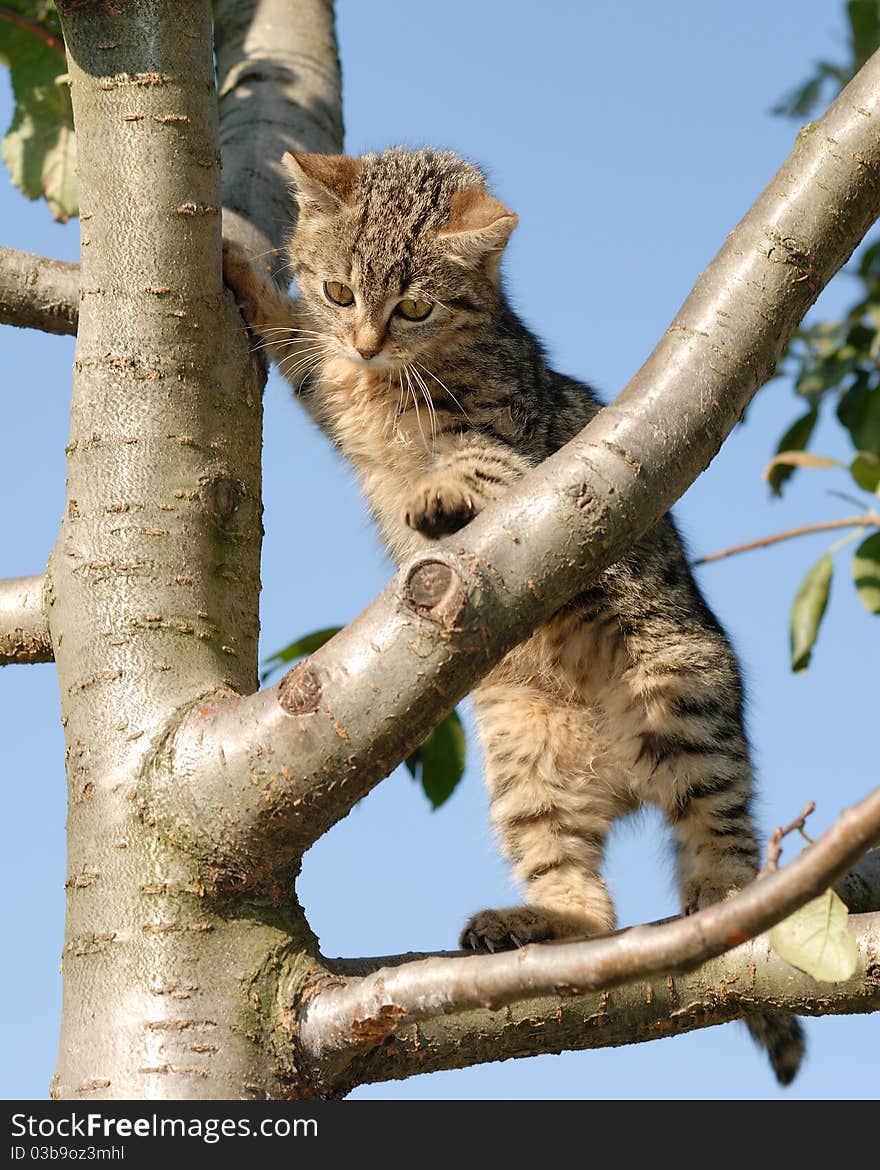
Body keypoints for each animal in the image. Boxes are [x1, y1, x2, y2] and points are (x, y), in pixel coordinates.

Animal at [224, 146, 805, 1085]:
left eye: (414, 304)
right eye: (340, 292)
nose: (366, 341)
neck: (391, 380)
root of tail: (620, 772)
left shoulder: (518, 438)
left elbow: (478, 461)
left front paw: (436, 492)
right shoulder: (329, 380)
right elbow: (295, 344)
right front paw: (244, 274)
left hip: (685, 695)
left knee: (725, 829)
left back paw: (721, 893)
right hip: (525, 761)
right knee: (591, 904)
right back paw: (539, 921)